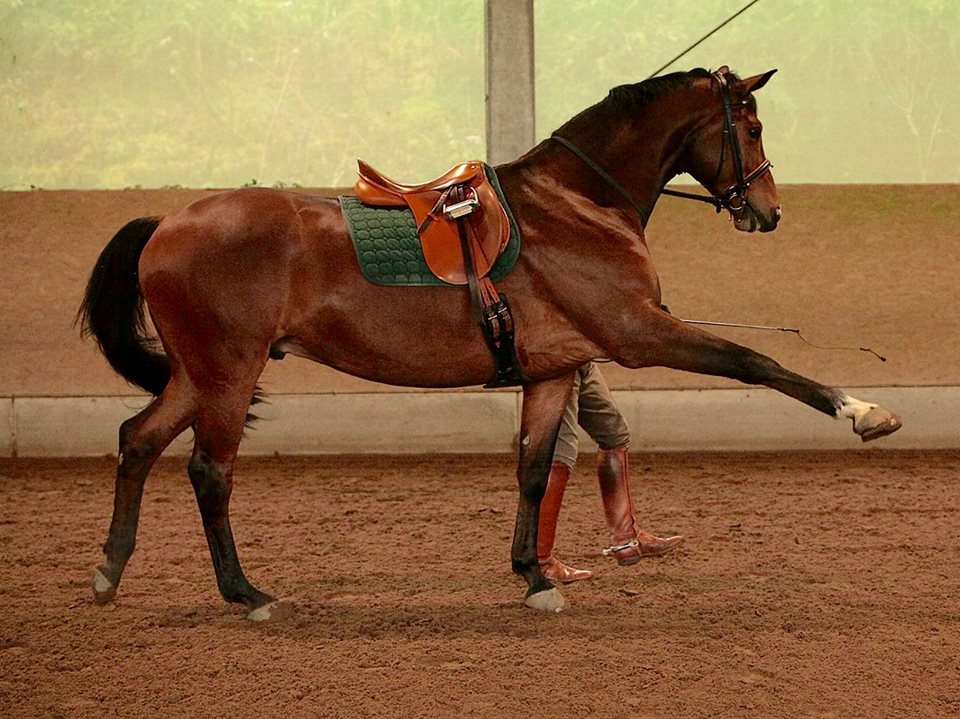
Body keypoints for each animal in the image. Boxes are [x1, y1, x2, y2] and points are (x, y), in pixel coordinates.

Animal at [80, 67, 900, 620]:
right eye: (752, 128)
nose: (768, 209)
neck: (577, 207)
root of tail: (167, 223)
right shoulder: (639, 333)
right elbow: (758, 361)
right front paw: (865, 413)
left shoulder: (556, 368)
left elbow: (535, 470)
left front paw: (534, 577)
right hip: (228, 373)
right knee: (209, 473)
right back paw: (245, 593)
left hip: (197, 374)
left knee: (137, 440)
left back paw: (110, 571)